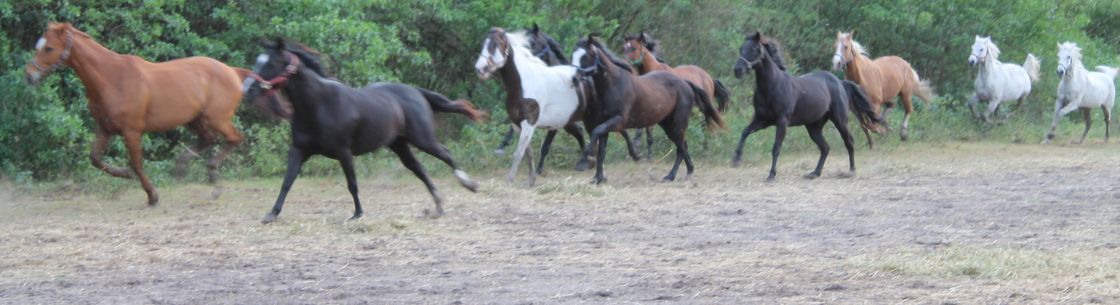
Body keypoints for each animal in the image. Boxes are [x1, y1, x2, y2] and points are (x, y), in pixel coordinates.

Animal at [25, 22, 256, 206]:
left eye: (49, 48)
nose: (29, 76)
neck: (112, 78)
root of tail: (233, 72)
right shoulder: (105, 129)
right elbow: (95, 158)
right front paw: (125, 174)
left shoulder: (131, 131)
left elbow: (137, 164)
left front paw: (152, 196)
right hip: (195, 120)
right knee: (208, 139)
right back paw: (186, 168)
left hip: (216, 118)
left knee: (234, 138)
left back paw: (212, 175)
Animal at [244, 39, 481, 223]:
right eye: (258, 60)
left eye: (271, 62)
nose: (247, 90)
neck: (318, 105)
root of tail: (415, 91)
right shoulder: (298, 150)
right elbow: (287, 181)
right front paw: (272, 214)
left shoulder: (344, 152)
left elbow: (352, 184)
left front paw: (357, 214)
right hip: (400, 145)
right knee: (419, 169)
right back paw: (439, 206)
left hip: (422, 139)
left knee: (445, 154)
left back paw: (469, 184)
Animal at [474, 29, 582, 186]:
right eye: (483, 44)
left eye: (493, 46)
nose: (479, 69)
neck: (523, 84)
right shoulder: (517, 124)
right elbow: (528, 153)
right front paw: (531, 180)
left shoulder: (530, 123)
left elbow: (519, 153)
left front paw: (510, 180)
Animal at [568, 35, 725, 183]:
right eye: (573, 54)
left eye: (585, 55)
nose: (574, 78)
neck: (612, 85)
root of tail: (685, 83)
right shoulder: (606, 124)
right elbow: (602, 151)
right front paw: (599, 178)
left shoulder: (617, 121)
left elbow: (597, 134)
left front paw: (585, 158)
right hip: (667, 125)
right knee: (683, 145)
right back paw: (689, 170)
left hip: (678, 124)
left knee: (681, 148)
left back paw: (670, 175)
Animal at [730, 32, 887, 181]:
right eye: (741, 48)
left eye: (753, 49)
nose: (737, 70)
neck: (773, 86)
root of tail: (840, 83)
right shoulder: (762, 120)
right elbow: (744, 132)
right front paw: (736, 160)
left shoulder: (782, 121)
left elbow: (776, 148)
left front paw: (771, 175)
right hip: (813, 127)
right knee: (825, 147)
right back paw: (814, 173)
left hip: (840, 121)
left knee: (849, 142)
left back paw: (851, 170)